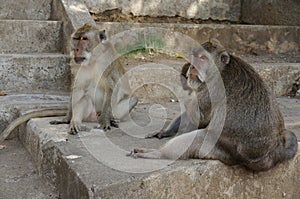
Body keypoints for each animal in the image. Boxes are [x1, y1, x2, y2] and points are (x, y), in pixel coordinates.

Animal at [128, 39, 298, 172]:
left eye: (202, 58)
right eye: (195, 57)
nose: (192, 67)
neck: (221, 68)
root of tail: (271, 155)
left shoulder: (211, 88)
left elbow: (199, 116)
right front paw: (165, 131)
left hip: (224, 150)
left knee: (199, 137)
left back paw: (157, 154)